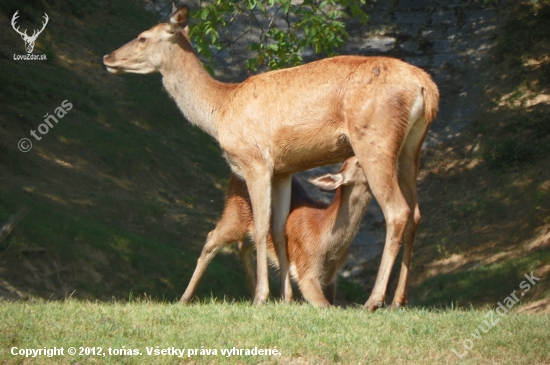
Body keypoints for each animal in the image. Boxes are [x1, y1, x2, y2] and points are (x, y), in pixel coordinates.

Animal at [183, 156, 374, 308]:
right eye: (358, 161)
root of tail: (233, 175)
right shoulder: (307, 267)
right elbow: (326, 306)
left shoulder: (331, 276)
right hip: (235, 214)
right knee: (212, 238)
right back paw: (185, 298)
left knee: (244, 246)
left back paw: (257, 295)